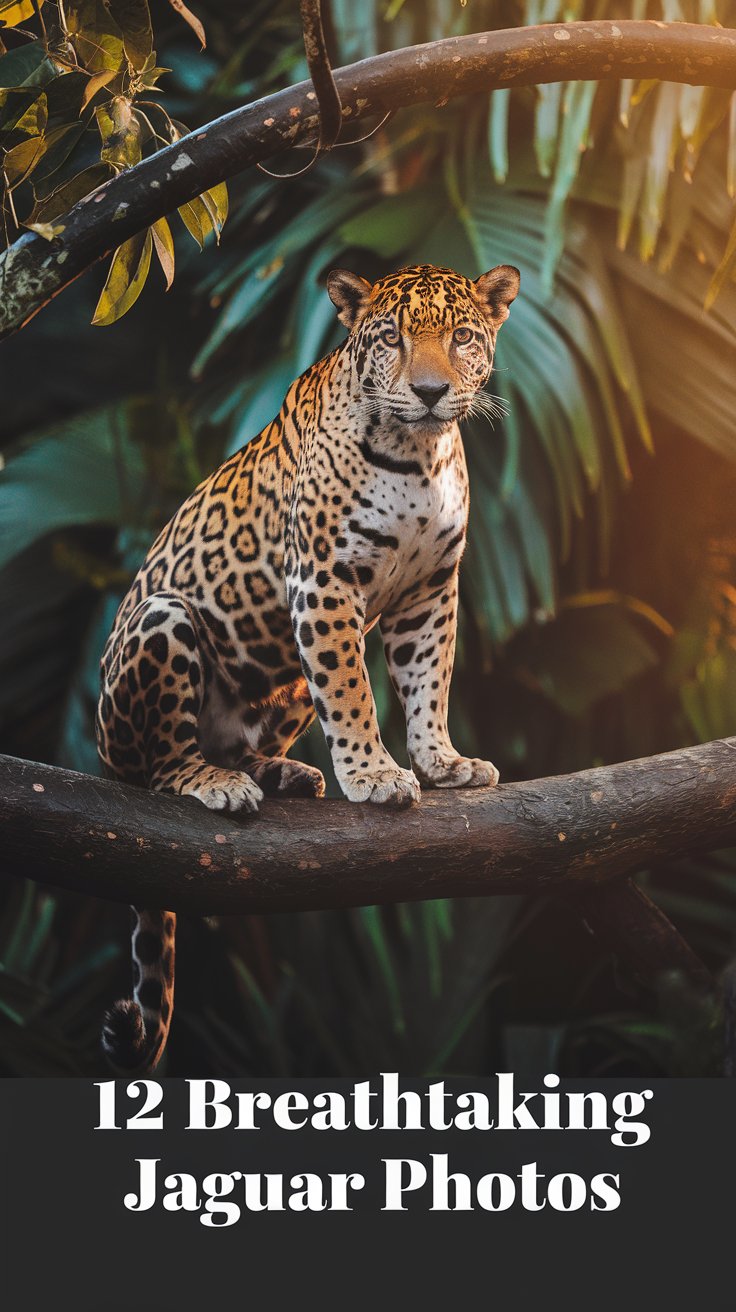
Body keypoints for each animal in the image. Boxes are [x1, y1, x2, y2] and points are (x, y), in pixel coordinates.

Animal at [96, 260, 521, 1073]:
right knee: (160, 765)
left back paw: (280, 773)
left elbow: (429, 682)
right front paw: (377, 776)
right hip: (164, 622)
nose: (430, 391)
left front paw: (442, 762)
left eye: (462, 337)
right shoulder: (323, 583)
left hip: (283, 677)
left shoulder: (430, 589)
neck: (420, 455)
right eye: (391, 339)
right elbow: (352, 691)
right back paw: (217, 783)